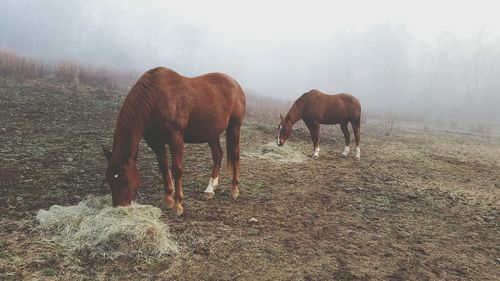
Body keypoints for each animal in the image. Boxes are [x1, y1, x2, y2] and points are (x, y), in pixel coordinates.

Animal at [103, 66, 246, 215]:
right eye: (108, 178)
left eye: (125, 179)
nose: (120, 206)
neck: (156, 98)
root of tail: (235, 83)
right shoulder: (156, 142)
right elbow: (164, 167)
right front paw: (168, 199)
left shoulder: (175, 138)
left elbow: (177, 169)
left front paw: (178, 205)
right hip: (211, 133)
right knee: (218, 155)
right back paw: (210, 189)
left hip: (234, 126)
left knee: (235, 155)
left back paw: (234, 189)